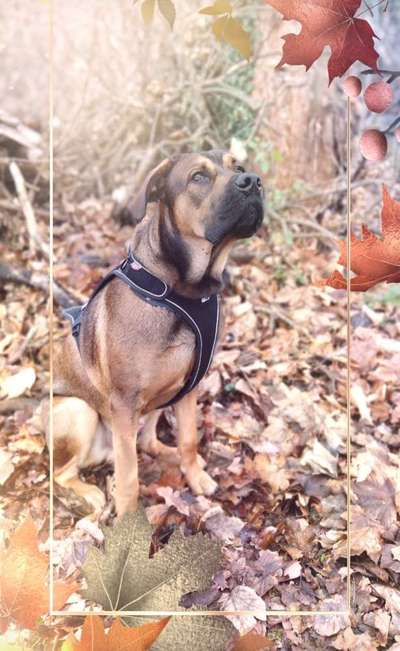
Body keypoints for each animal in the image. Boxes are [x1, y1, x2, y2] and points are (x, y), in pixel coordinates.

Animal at [45, 150, 264, 516]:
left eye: (239, 166)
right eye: (198, 177)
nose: (254, 181)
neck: (181, 292)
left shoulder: (190, 388)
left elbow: (188, 439)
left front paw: (195, 476)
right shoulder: (123, 405)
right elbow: (129, 477)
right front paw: (128, 520)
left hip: (164, 396)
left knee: (147, 440)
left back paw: (167, 454)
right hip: (79, 411)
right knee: (61, 473)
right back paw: (89, 493)